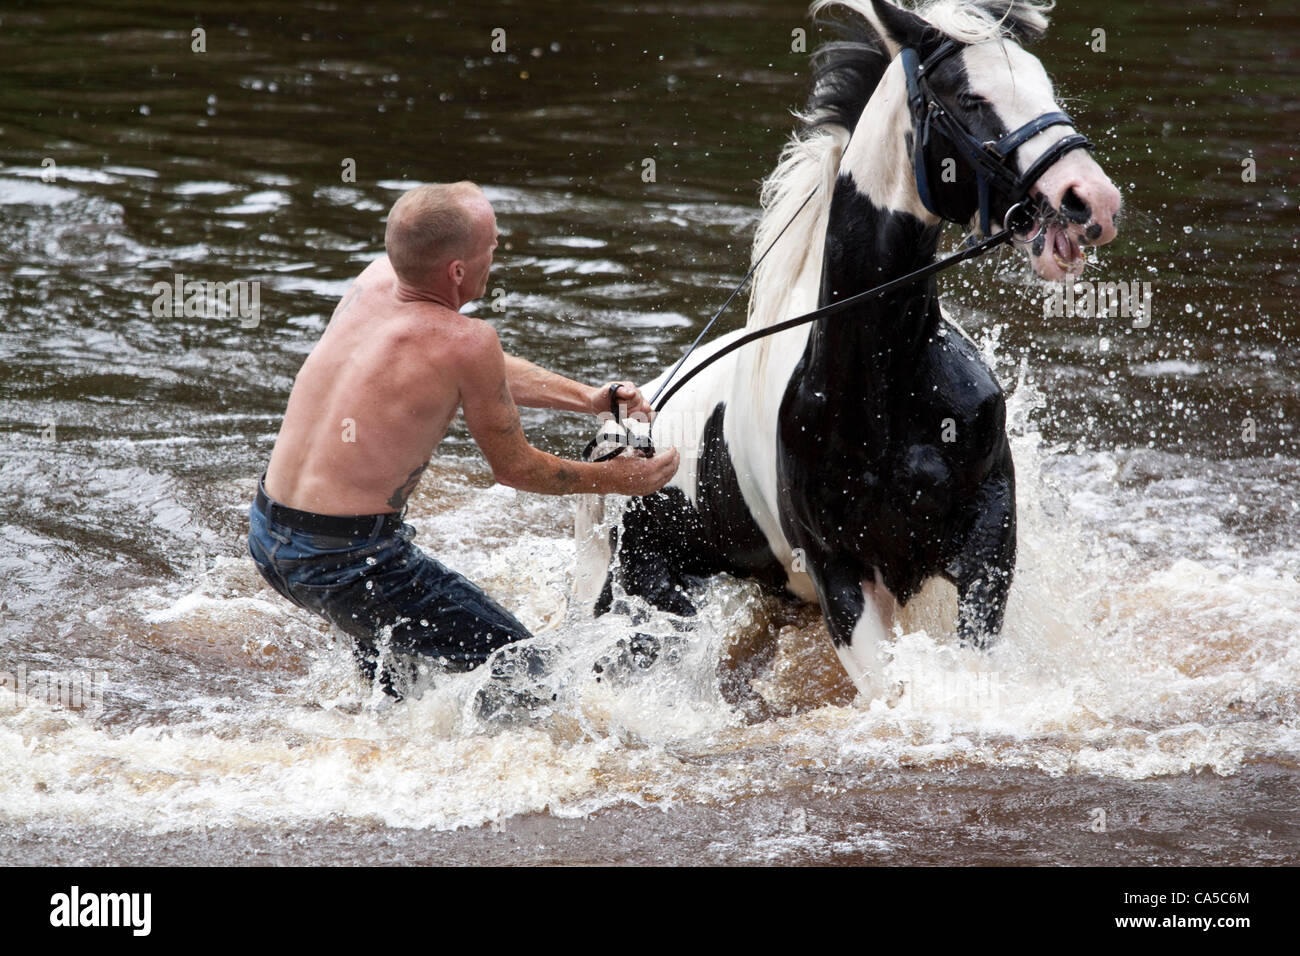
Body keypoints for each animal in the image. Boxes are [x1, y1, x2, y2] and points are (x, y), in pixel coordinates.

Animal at [574, 0, 1123, 697]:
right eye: (970, 98)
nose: (1090, 200)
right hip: (649, 594)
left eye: (1047, 86)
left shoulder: (986, 538)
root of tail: (619, 436)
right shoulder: (841, 572)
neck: (884, 379)